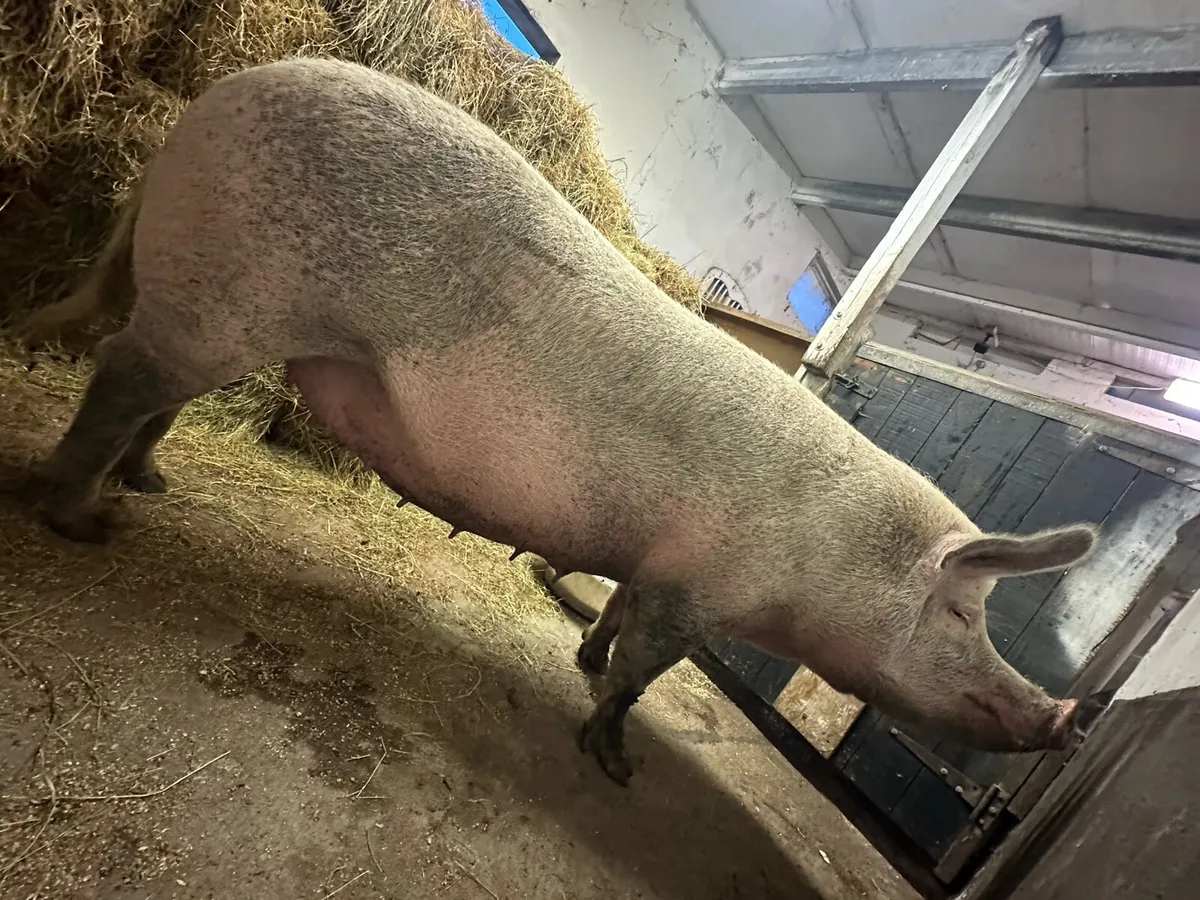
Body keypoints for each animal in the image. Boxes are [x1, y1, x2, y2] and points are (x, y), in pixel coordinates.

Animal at [16, 57, 1098, 785]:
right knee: (124, 378)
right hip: (227, 291)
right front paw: (615, 766)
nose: (1070, 717)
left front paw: (581, 659)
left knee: (159, 398)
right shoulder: (700, 584)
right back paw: (83, 521)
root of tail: (222, 91)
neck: (833, 555)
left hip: (226, 310)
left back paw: (147, 485)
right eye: (963, 613)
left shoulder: (659, 559)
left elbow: (614, 618)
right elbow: (644, 670)